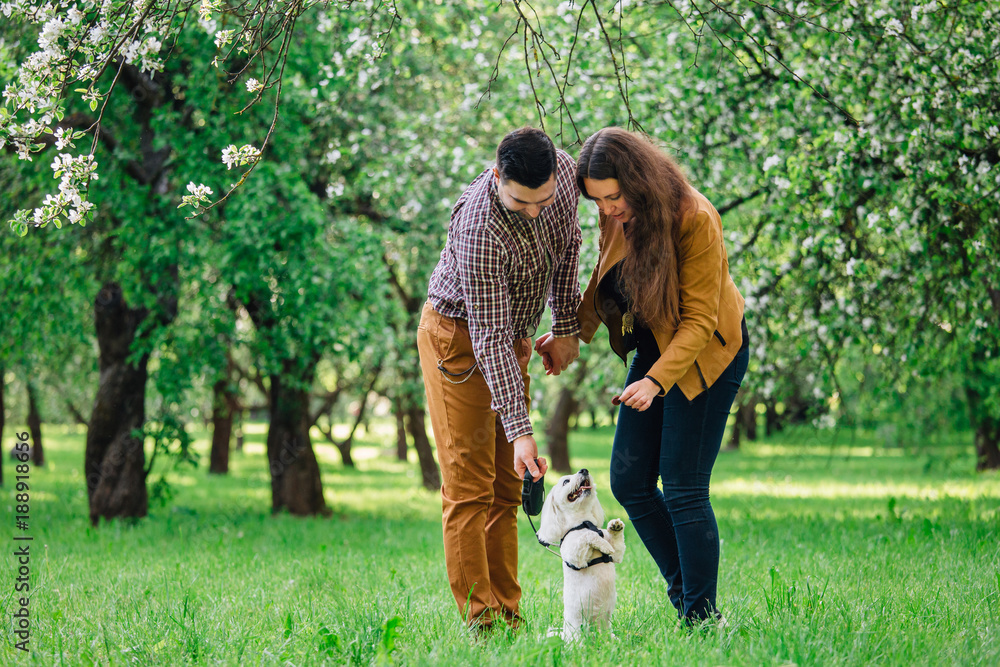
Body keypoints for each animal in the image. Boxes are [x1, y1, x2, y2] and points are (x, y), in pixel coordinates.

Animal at [536, 470, 628, 640]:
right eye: (566, 481)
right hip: (576, 627)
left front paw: (615, 526)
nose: (584, 470)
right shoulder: (575, 554)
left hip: (604, 626)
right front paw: (603, 545)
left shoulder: (617, 554)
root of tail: (564, 633)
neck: (583, 523)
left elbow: (616, 548)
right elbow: (588, 536)